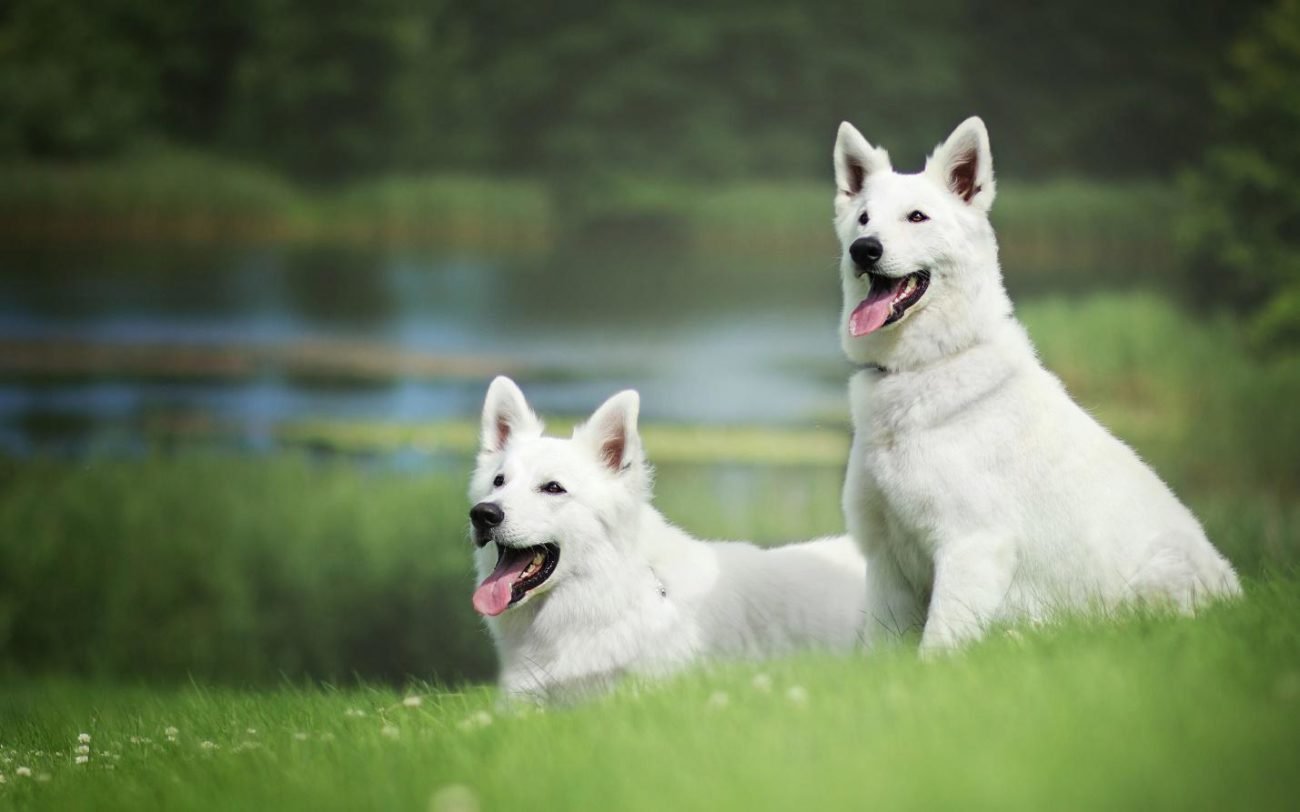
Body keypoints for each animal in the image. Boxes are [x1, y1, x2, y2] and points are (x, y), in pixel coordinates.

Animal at [832, 115, 1237, 652]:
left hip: (1153, 582)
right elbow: (881, 649)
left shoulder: (971, 548)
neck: (927, 365)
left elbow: (936, 650)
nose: (864, 250)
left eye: (917, 217)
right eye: (863, 219)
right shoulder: (886, 562)